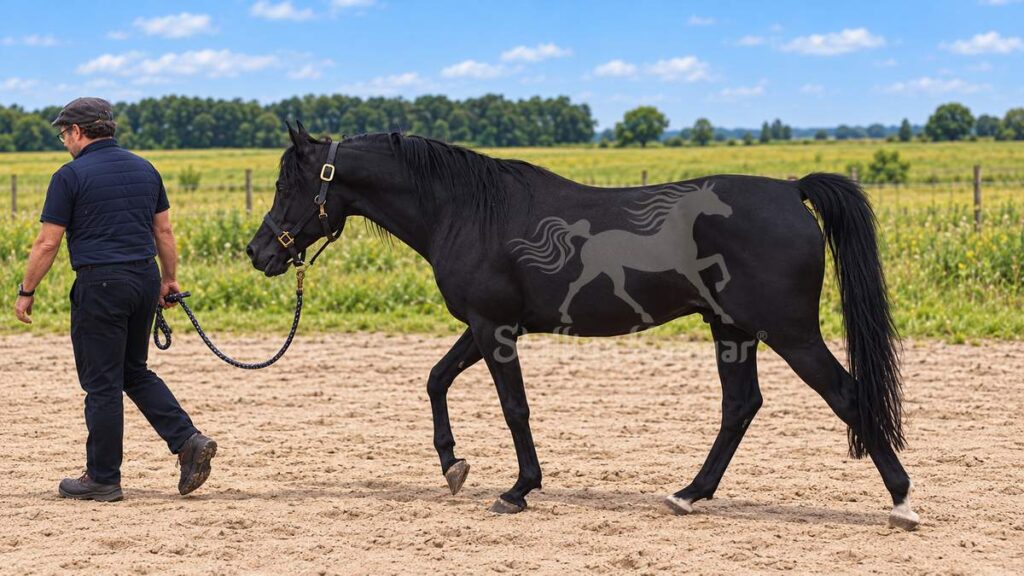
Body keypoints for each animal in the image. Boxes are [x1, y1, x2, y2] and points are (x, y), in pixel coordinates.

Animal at [245, 124, 918, 530]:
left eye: (286, 183)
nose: (258, 252)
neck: (466, 210)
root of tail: (789, 190)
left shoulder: (494, 328)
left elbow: (513, 407)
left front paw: (517, 489)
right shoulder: (486, 324)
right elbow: (436, 379)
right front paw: (453, 465)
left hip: (790, 332)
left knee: (846, 394)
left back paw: (902, 501)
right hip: (732, 329)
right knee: (741, 406)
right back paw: (688, 493)